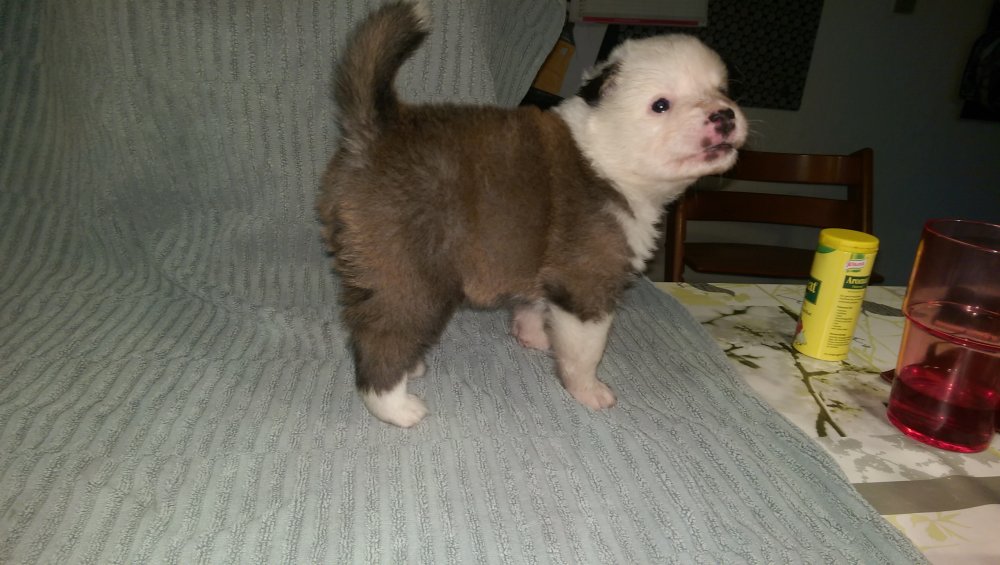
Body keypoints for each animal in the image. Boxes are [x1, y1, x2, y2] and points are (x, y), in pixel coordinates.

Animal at [317, 1, 747, 427]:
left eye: (722, 90)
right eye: (661, 105)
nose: (724, 115)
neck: (606, 156)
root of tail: (375, 130)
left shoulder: (544, 270)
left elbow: (534, 306)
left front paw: (534, 336)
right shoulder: (588, 286)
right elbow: (585, 351)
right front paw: (589, 391)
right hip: (413, 278)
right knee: (382, 338)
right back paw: (398, 406)